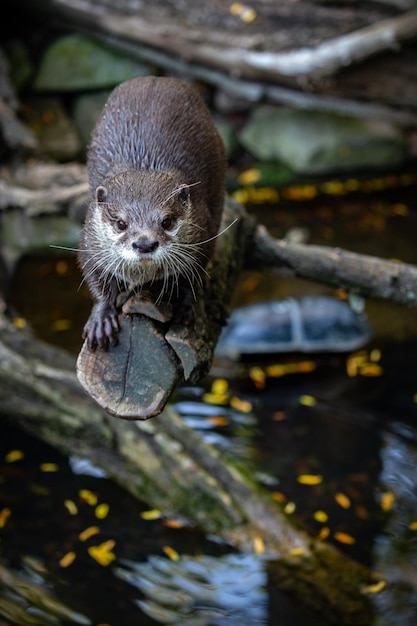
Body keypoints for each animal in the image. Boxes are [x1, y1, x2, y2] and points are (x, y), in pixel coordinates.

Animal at [78, 75, 228, 348]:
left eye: (167, 221)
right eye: (121, 223)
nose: (145, 243)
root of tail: (157, 78)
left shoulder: (203, 230)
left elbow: (195, 275)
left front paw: (185, 306)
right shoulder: (89, 241)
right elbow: (96, 278)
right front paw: (101, 318)